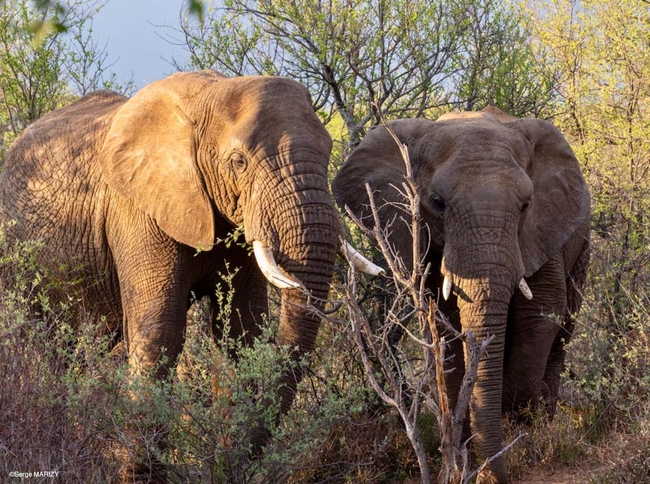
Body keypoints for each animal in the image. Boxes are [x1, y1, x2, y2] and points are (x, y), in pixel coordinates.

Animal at [0, 70, 380, 479]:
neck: (210, 95)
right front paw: (141, 474)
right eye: (238, 162)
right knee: (48, 345)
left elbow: (241, 332)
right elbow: (161, 329)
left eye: (328, 152)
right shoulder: (136, 209)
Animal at [332, 107, 590, 483]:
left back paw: (544, 414)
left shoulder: (544, 232)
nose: (498, 475)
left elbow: (542, 311)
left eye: (526, 205)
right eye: (437, 204)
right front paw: (463, 452)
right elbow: (442, 326)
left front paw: (520, 422)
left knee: (564, 330)